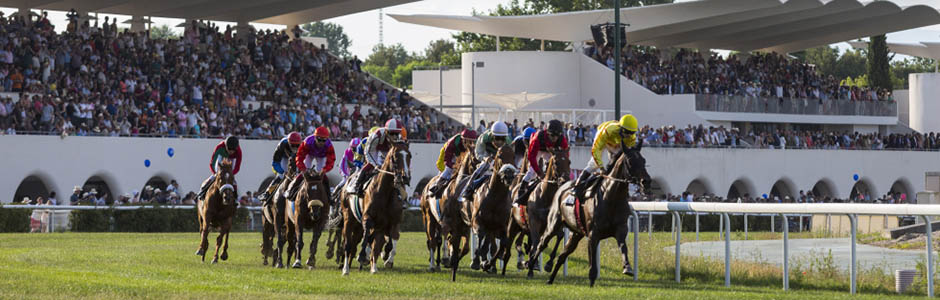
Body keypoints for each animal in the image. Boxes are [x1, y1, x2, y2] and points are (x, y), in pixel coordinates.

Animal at [340, 142, 410, 276]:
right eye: (395, 157)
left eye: (409, 156)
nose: (405, 177)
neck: (385, 192)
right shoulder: (367, 218)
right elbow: (368, 237)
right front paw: (363, 256)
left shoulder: (392, 222)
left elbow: (390, 240)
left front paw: (386, 258)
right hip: (349, 219)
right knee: (348, 244)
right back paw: (346, 269)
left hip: (361, 225)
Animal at [470, 145, 520, 274]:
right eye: (500, 156)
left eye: (513, 155)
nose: (509, 176)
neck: (495, 197)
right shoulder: (476, 220)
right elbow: (480, 235)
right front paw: (476, 261)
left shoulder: (503, 225)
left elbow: (502, 244)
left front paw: (489, 264)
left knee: (491, 244)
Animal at [532, 140, 648, 286]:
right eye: (630, 161)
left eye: (644, 160)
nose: (646, 181)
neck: (611, 197)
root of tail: (561, 187)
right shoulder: (593, 234)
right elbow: (592, 262)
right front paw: (592, 280)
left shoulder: (620, 229)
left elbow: (623, 246)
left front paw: (627, 267)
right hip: (553, 224)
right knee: (542, 243)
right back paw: (530, 266)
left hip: (576, 234)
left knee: (562, 255)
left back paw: (550, 278)